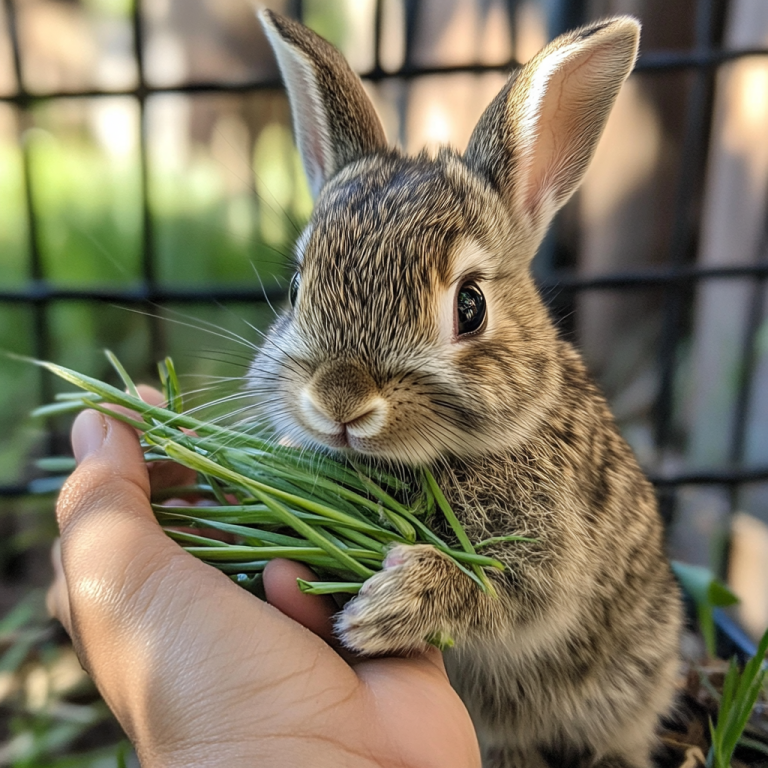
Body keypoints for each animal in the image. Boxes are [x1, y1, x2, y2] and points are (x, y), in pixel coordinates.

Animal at [249, 10, 680, 768]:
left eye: (470, 307)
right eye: (298, 288)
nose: (339, 401)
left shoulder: (547, 554)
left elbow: (502, 589)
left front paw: (388, 607)